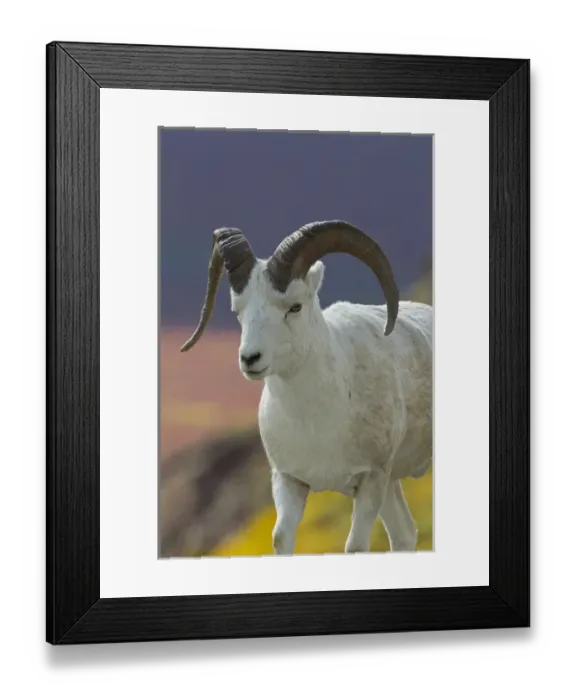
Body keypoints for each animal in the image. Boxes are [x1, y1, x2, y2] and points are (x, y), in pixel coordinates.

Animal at [180, 220, 433, 555]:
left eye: (294, 307)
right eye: (238, 311)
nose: (250, 359)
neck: (316, 422)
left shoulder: (371, 480)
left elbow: (355, 546)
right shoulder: (290, 482)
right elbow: (281, 538)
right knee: (404, 534)